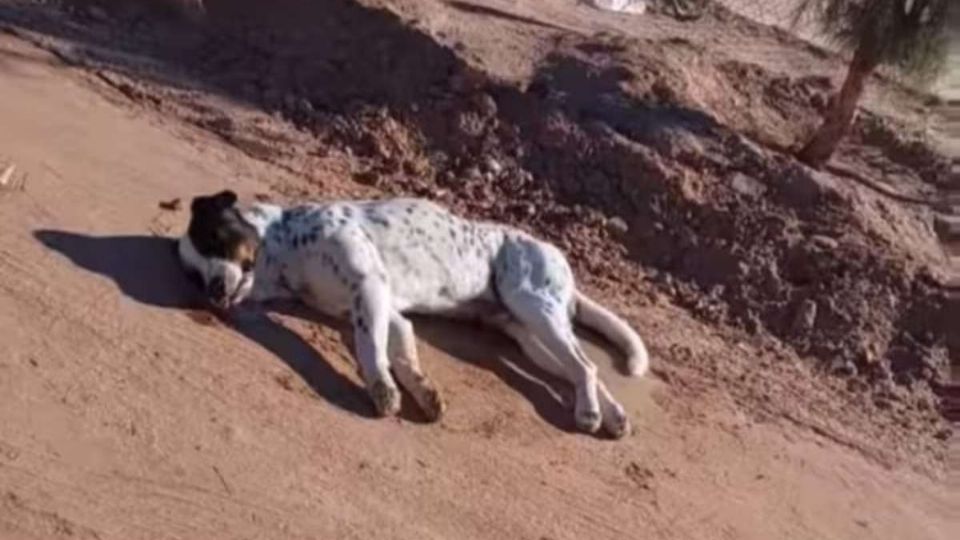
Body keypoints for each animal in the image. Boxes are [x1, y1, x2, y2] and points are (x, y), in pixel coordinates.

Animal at [176, 190, 648, 438]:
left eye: (216, 238)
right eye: (193, 273)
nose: (214, 292)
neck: (287, 250)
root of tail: (558, 258)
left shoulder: (369, 288)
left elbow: (370, 350)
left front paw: (383, 391)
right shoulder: (385, 310)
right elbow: (402, 357)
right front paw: (421, 391)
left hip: (533, 304)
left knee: (585, 365)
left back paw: (589, 414)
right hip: (531, 336)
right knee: (582, 369)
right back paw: (613, 415)